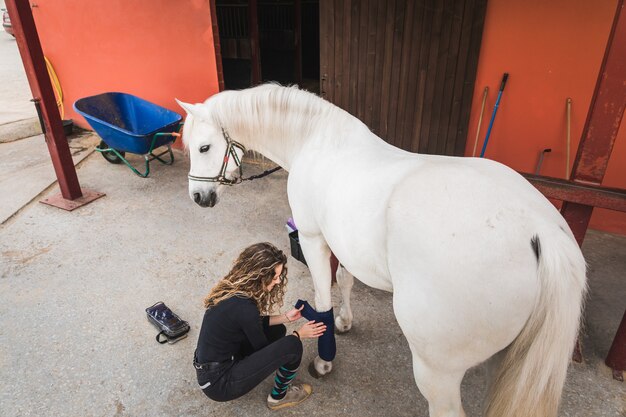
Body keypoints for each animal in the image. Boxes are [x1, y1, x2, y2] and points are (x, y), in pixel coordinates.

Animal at [177, 84, 584, 416]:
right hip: (506, 362)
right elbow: (345, 282)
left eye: (204, 147)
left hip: (437, 372)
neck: (315, 141)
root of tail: (541, 232)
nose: (198, 197)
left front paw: (324, 359)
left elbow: (323, 297)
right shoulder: (342, 243)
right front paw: (344, 323)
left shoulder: (313, 238)